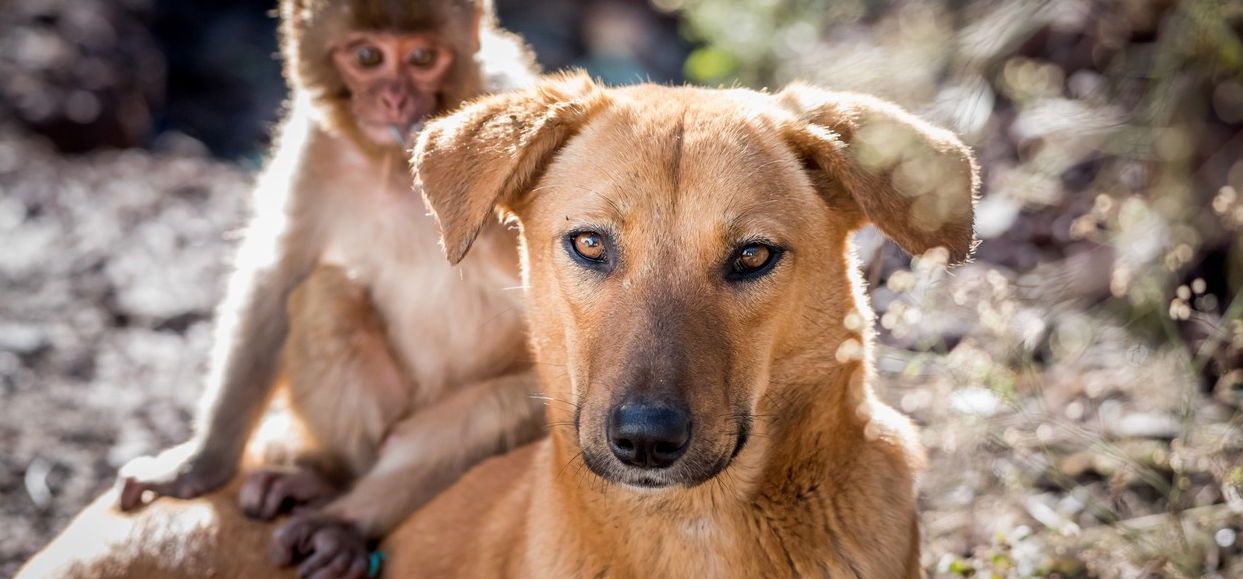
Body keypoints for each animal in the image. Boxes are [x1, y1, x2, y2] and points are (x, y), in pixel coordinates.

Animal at [113, 2, 544, 576]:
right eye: (367, 57)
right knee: (325, 297)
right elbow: (278, 275)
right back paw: (327, 476)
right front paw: (200, 465)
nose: (395, 100)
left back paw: (342, 523)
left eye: (422, 58)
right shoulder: (316, 144)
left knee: (508, 402)